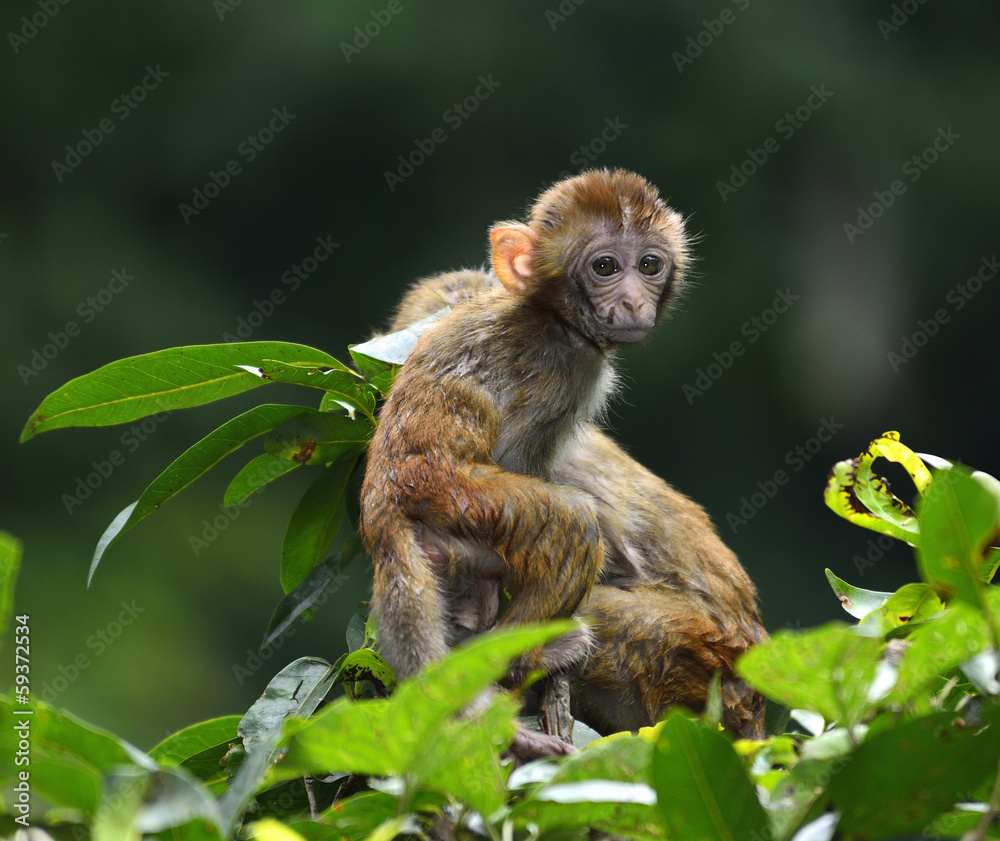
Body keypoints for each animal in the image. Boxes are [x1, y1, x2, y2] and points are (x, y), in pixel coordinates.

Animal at [360, 170, 766, 758]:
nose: (633, 301)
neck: (548, 315)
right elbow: (522, 460)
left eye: (649, 264)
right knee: (573, 522)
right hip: (459, 495)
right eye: (605, 267)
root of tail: (383, 499)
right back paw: (524, 656)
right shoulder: (566, 373)